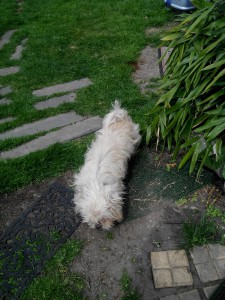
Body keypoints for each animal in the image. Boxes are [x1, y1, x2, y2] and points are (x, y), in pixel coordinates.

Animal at [73, 101, 141, 230]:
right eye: (91, 218)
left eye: (104, 218)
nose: (97, 226)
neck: (96, 184)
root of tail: (118, 117)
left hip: (134, 138)